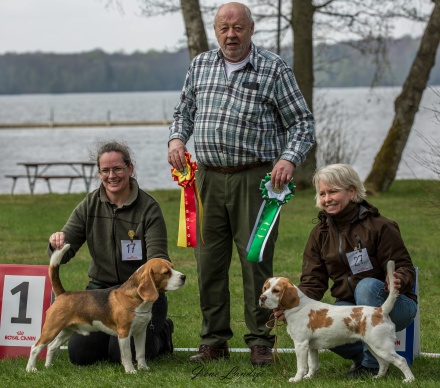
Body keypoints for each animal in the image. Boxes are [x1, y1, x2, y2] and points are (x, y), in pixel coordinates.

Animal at [27, 244, 186, 374]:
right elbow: (127, 355)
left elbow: (140, 353)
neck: (137, 300)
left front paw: (143, 368)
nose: (184, 277)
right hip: (51, 328)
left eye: (172, 267)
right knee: (35, 347)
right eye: (166, 272)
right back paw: (31, 369)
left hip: (66, 331)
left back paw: (48, 366)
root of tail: (63, 293)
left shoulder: (141, 332)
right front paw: (131, 371)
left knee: (51, 347)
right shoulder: (124, 333)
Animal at [260, 260, 414, 382]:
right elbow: (312, 364)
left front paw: (297, 379)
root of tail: (380, 310)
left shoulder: (300, 344)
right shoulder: (311, 347)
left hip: (382, 346)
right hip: (374, 346)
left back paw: (409, 380)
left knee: (401, 360)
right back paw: (377, 377)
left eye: (276, 290)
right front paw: (309, 377)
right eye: (265, 288)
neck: (298, 305)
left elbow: (301, 366)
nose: (261, 298)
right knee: (383, 363)